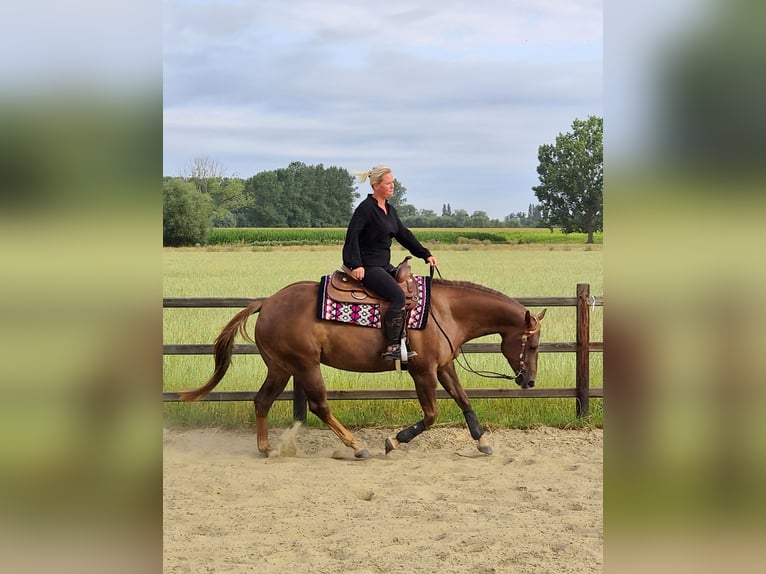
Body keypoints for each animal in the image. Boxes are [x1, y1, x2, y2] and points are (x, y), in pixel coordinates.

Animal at [179, 278, 546, 458]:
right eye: (532, 345)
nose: (529, 381)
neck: (445, 311)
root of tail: (267, 302)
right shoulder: (423, 371)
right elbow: (431, 415)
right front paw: (394, 441)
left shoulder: (443, 367)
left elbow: (464, 400)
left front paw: (482, 442)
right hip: (305, 365)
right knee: (320, 406)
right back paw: (357, 446)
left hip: (280, 368)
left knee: (262, 401)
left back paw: (267, 448)